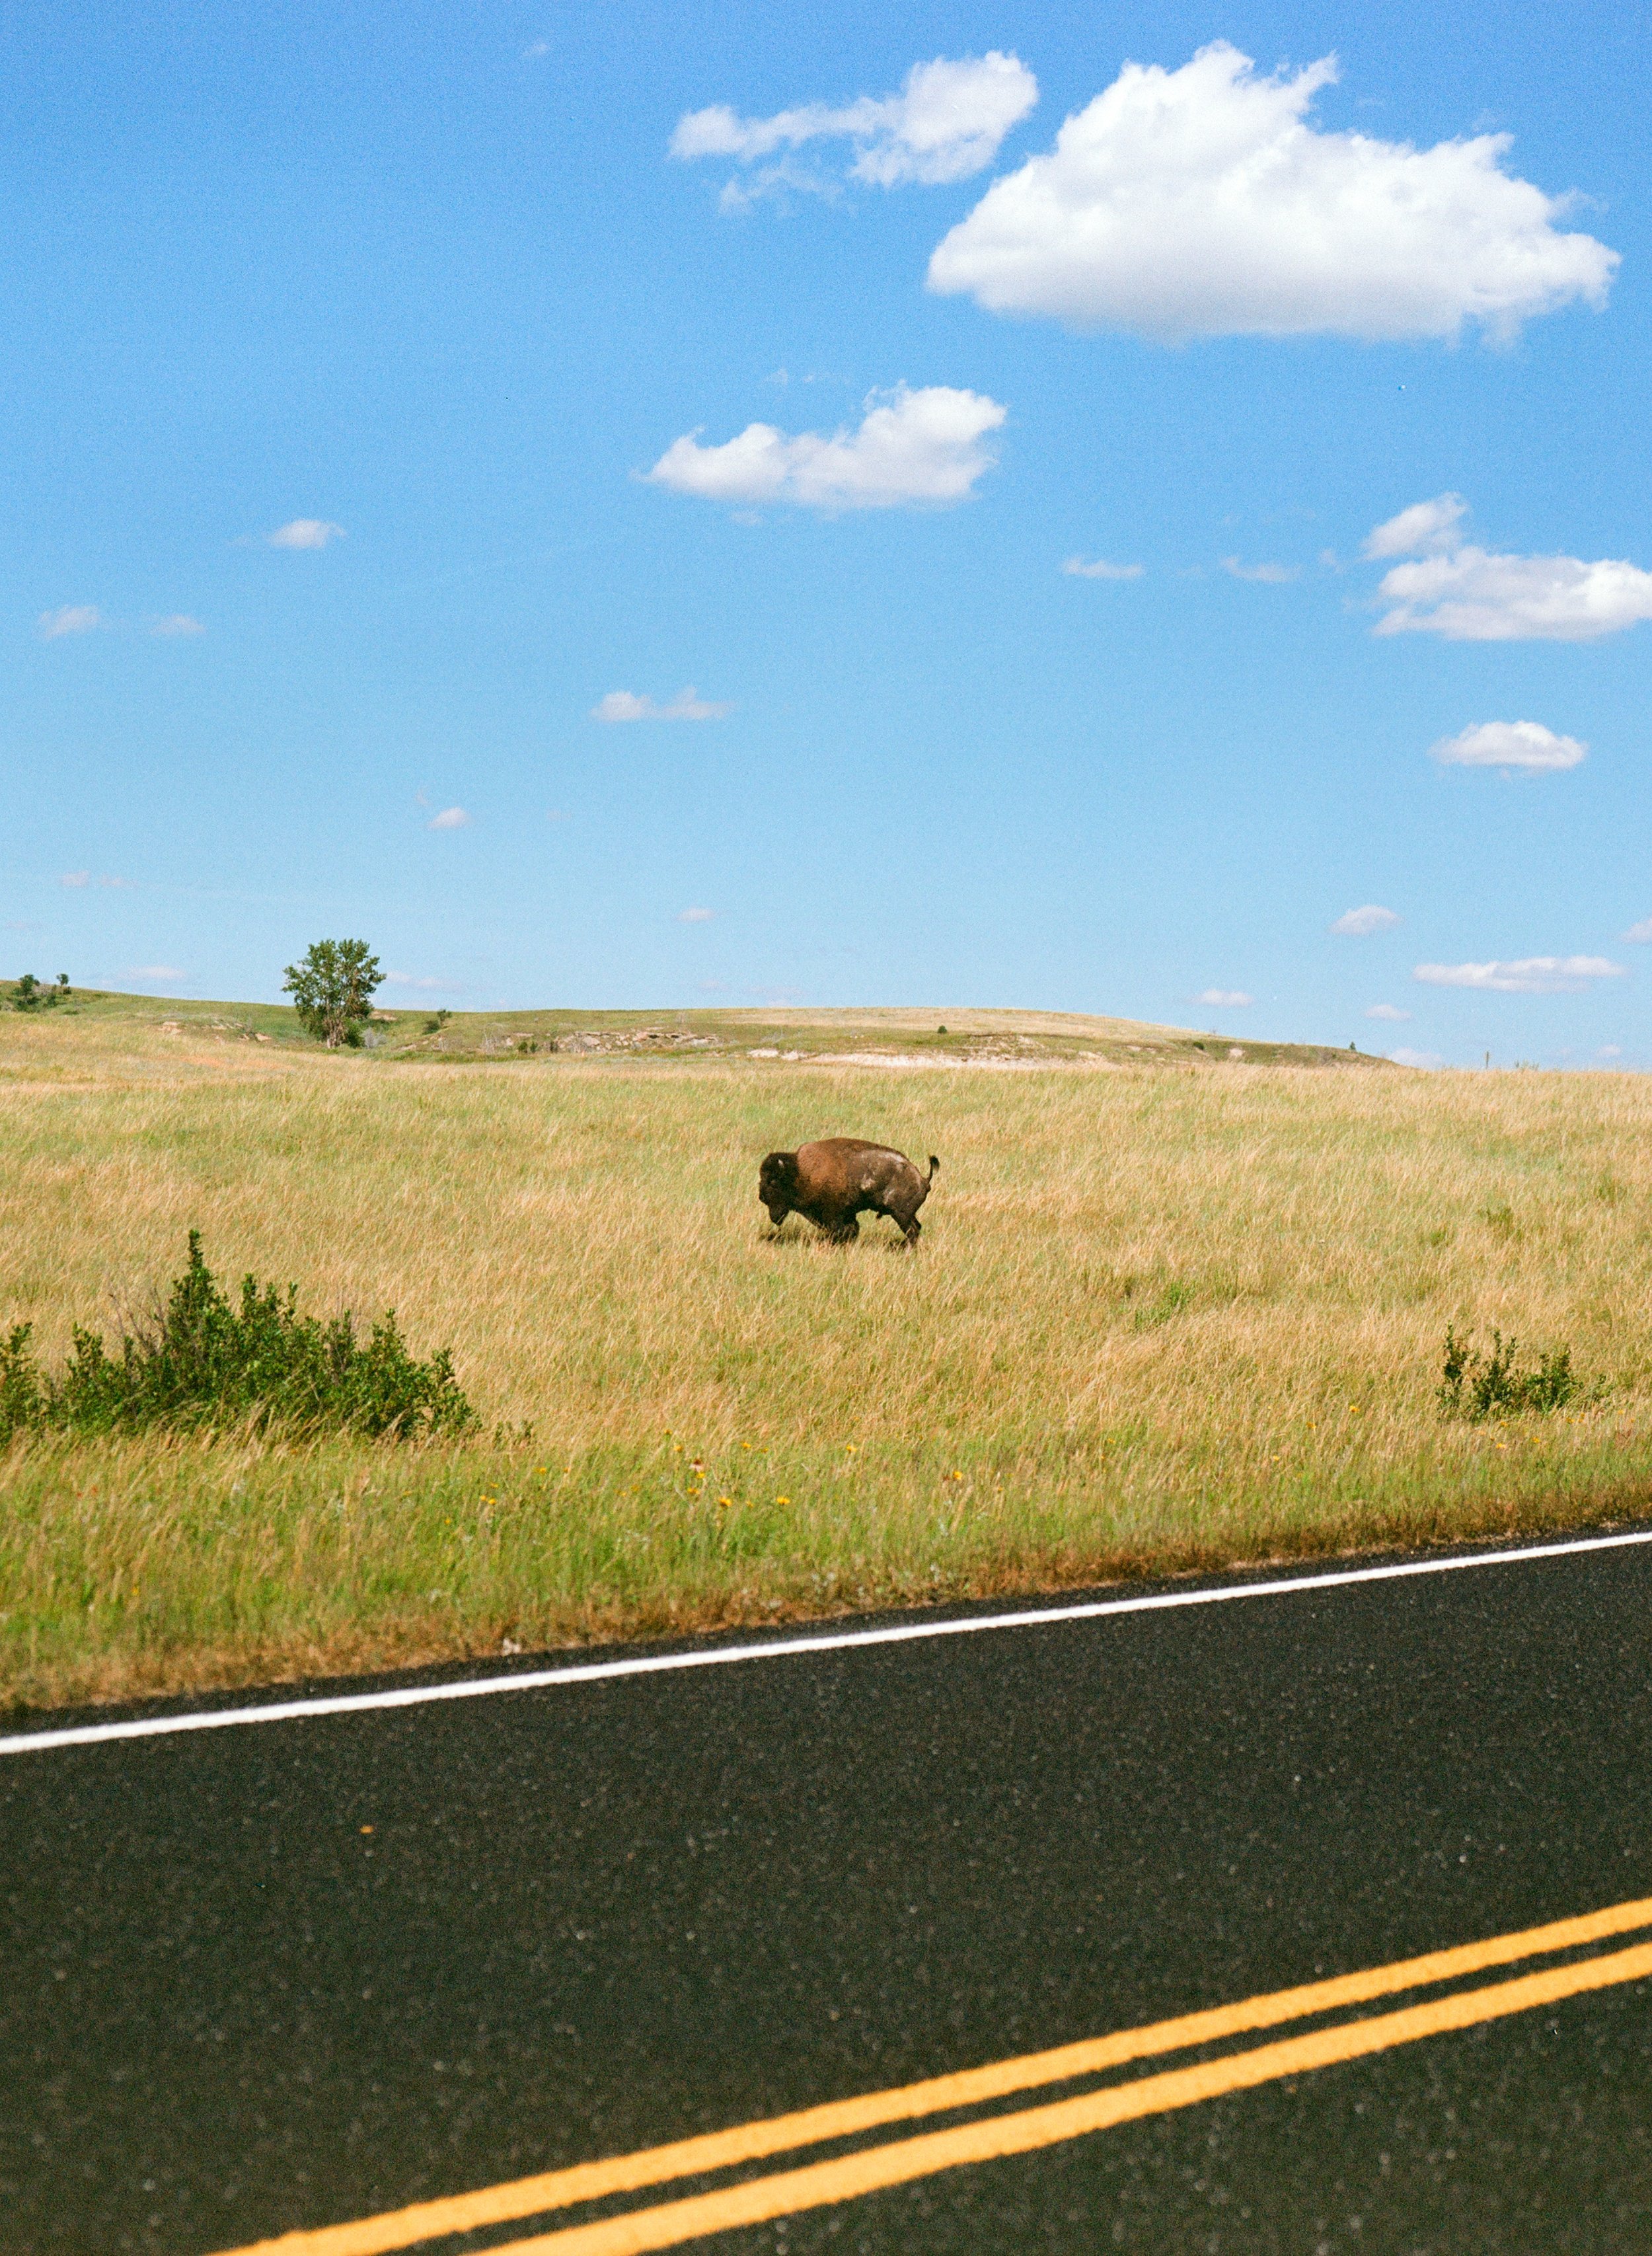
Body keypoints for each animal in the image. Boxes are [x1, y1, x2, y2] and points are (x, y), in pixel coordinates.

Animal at [763, 1137, 943, 1245]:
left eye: (773, 1182)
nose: (761, 1197)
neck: (799, 1172)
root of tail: (923, 1179)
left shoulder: (833, 1215)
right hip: (907, 1215)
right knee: (917, 1228)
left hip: (901, 1215)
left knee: (913, 1231)